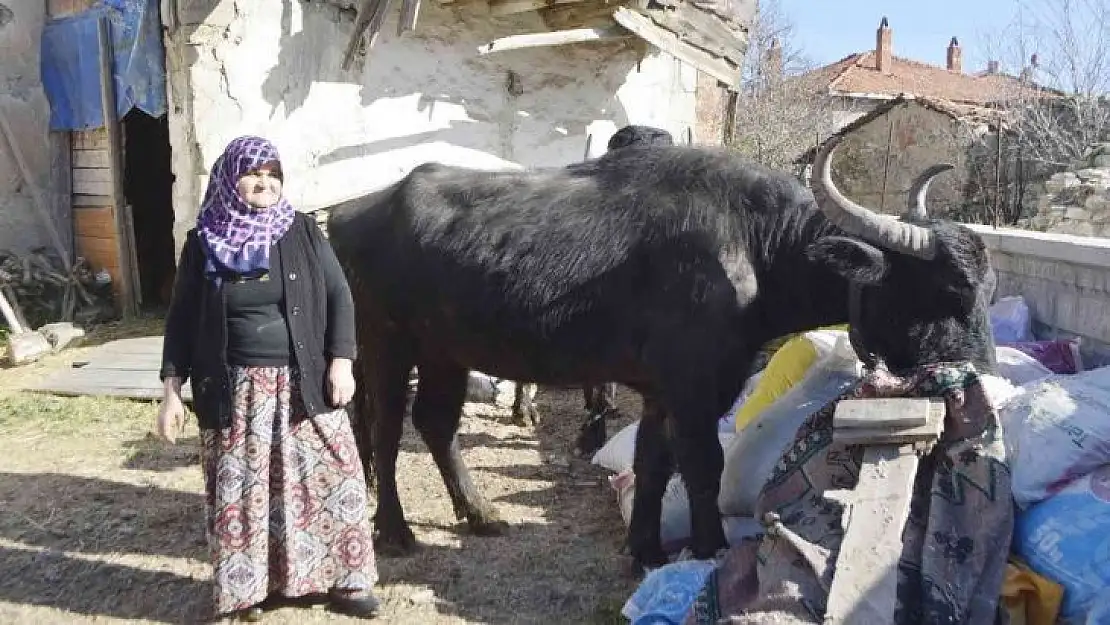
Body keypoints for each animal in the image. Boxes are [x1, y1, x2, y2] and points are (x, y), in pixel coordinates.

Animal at [326, 134, 999, 568]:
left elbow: (653, 466)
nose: (981, 373)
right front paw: (708, 547)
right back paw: (394, 529)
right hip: (385, 342)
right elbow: (702, 467)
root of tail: (348, 212)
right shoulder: (695, 388)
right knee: (384, 430)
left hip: (447, 351)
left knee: (435, 424)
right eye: (941, 291)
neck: (757, 247)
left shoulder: (660, 392)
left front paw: (645, 549)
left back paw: (480, 512)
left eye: (984, 289)